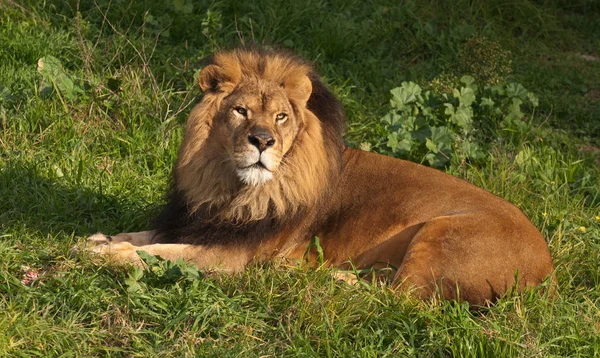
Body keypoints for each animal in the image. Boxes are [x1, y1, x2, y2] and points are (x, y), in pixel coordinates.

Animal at [86, 47, 556, 304]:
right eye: (240, 110)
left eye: (280, 117)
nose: (262, 141)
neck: (230, 185)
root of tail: (547, 269)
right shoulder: (201, 222)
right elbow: (146, 237)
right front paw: (100, 240)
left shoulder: (230, 256)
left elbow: (161, 254)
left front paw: (104, 255)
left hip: (441, 232)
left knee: (401, 300)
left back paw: (318, 277)